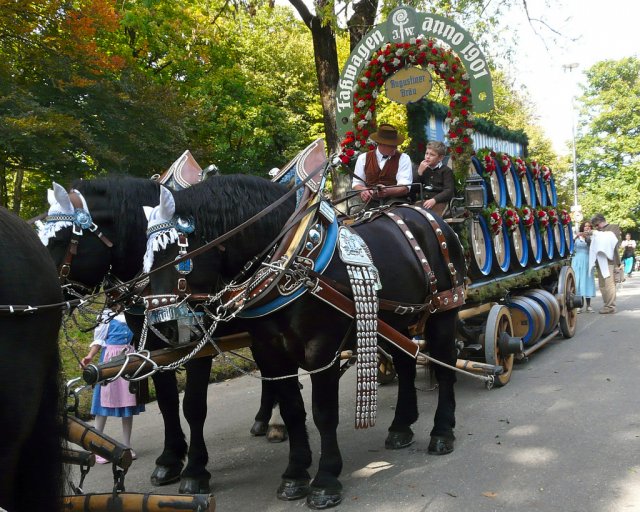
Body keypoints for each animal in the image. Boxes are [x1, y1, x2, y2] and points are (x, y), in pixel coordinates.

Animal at [40, 177, 278, 496]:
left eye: (58, 241)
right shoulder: (155, 348)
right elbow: (167, 402)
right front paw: (170, 459)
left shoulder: (196, 344)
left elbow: (193, 405)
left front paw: (195, 470)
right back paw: (264, 419)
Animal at [145, 175, 464, 508]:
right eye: (147, 257)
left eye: (178, 255)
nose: (162, 327)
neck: (291, 261)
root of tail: (428, 216)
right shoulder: (270, 353)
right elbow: (293, 410)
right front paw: (295, 474)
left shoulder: (321, 350)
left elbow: (324, 413)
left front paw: (325, 480)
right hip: (395, 321)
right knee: (405, 363)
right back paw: (401, 426)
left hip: (444, 311)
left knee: (446, 368)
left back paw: (442, 432)